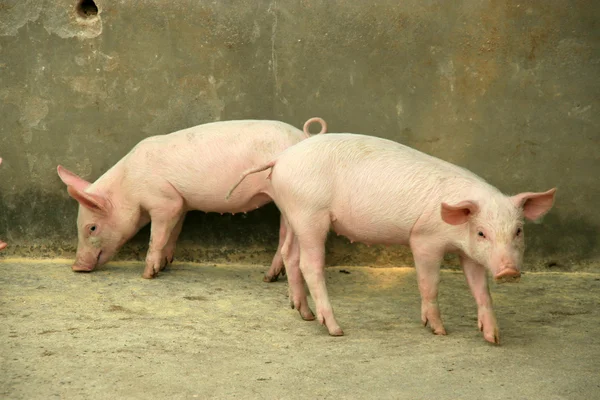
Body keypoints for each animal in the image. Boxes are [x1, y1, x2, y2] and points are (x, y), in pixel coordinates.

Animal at [57, 117, 324, 280]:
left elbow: (157, 236)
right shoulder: (181, 203)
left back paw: (269, 277)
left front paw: (148, 274)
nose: (76, 267)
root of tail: (305, 137)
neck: (129, 185)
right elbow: (173, 232)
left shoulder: (164, 200)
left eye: (91, 227)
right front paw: (165, 264)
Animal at [226, 132, 556, 344]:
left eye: (518, 230)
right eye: (482, 232)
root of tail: (281, 157)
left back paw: (304, 314)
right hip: (311, 214)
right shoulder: (424, 239)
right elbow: (429, 283)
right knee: (310, 264)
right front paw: (438, 331)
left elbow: (481, 291)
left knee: (290, 254)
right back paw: (335, 329)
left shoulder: (469, 254)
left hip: (294, 212)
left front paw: (493, 338)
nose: (509, 272)